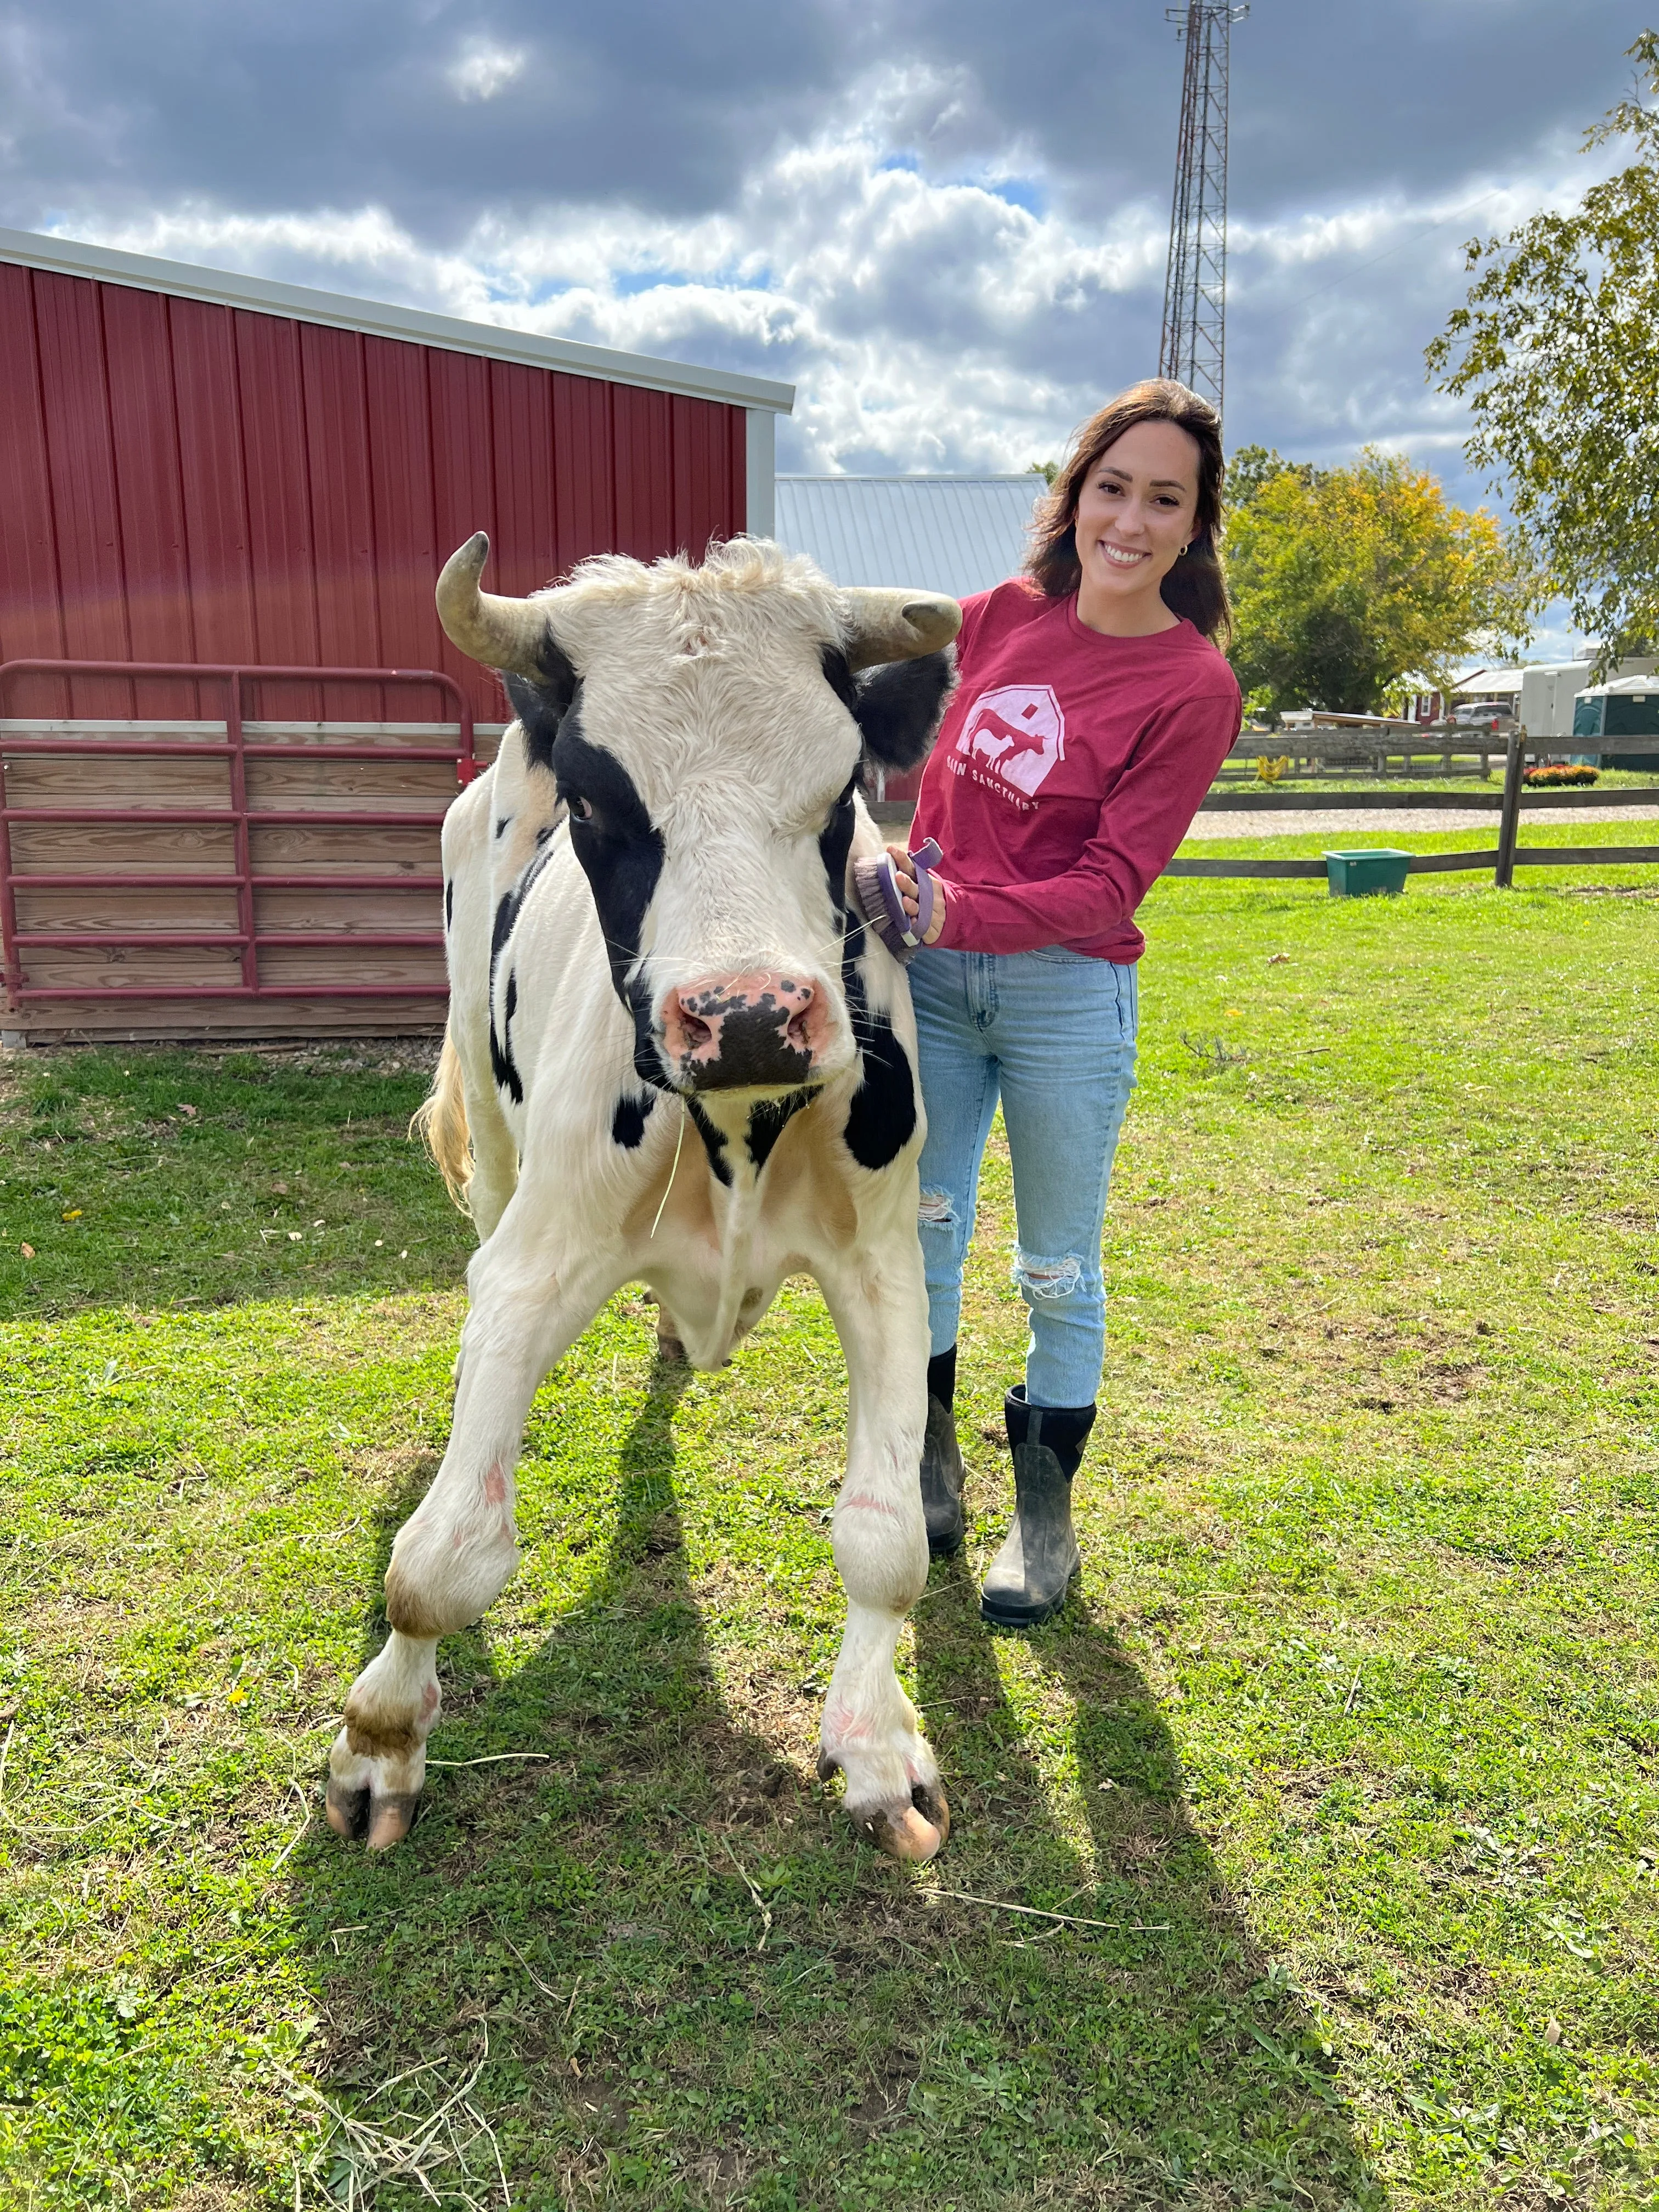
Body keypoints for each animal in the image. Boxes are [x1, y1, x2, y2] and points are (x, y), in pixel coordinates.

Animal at [327, 539, 969, 1867]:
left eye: (842, 790)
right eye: (597, 802)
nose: (749, 1015)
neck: (737, 1126)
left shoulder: (886, 1266)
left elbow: (885, 1542)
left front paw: (877, 1751)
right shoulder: (533, 1267)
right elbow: (439, 1558)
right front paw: (381, 1739)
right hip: (489, 1124)